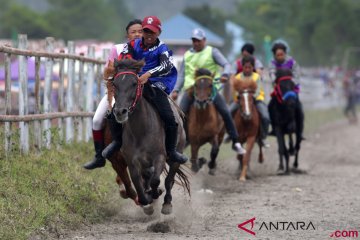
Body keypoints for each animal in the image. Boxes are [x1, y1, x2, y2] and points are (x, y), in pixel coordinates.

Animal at [105, 58, 191, 216]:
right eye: (115, 84)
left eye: (134, 83)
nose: (120, 112)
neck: (140, 130)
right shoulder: (132, 161)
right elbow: (138, 184)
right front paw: (147, 202)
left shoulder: (159, 156)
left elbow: (156, 181)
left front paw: (156, 193)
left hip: (177, 153)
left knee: (170, 179)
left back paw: (167, 203)